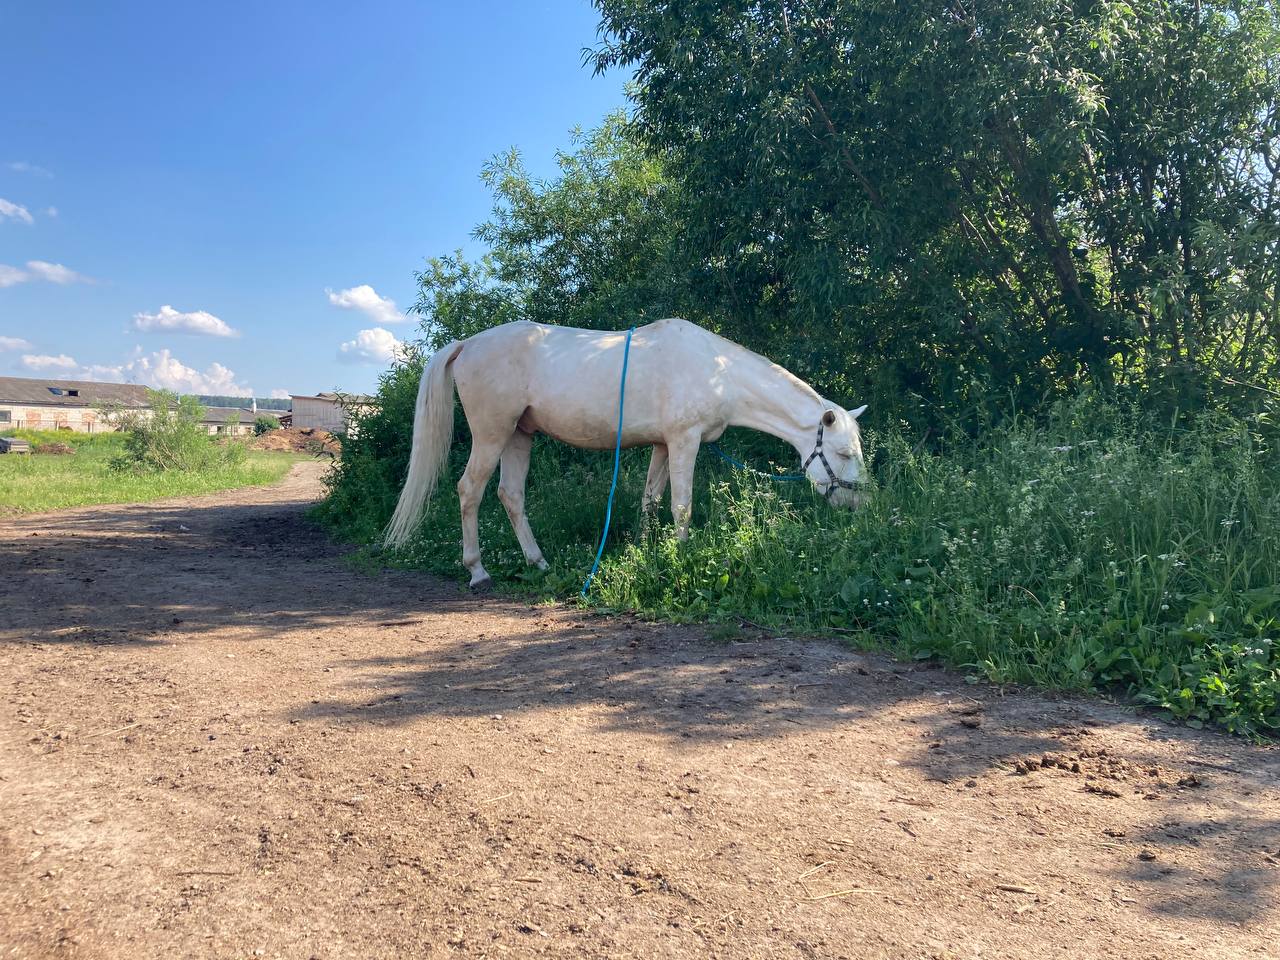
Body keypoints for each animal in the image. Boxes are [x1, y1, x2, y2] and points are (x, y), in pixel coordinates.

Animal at [381, 320, 870, 591]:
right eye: (843, 452)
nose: (859, 504)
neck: (717, 372)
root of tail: (468, 344)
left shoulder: (661, 444)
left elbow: (651, 500)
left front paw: (648, 552)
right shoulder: (684, 440)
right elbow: (681, 505)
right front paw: (680, 557)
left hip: (520, 435)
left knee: (511, 495)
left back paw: (539, 562)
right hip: (493, 433)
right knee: (470, 490)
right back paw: (478, 572)